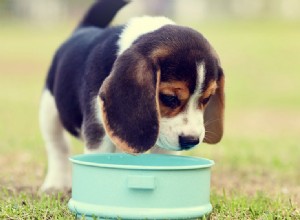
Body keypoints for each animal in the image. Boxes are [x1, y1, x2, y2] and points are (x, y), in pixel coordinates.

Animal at [39, 0, 225, 191]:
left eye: (206, 99)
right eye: (169, 98)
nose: (191, 140)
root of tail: (85, 27)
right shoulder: (97, 131)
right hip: (49, 110)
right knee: (58, 146)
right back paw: (55, 183)